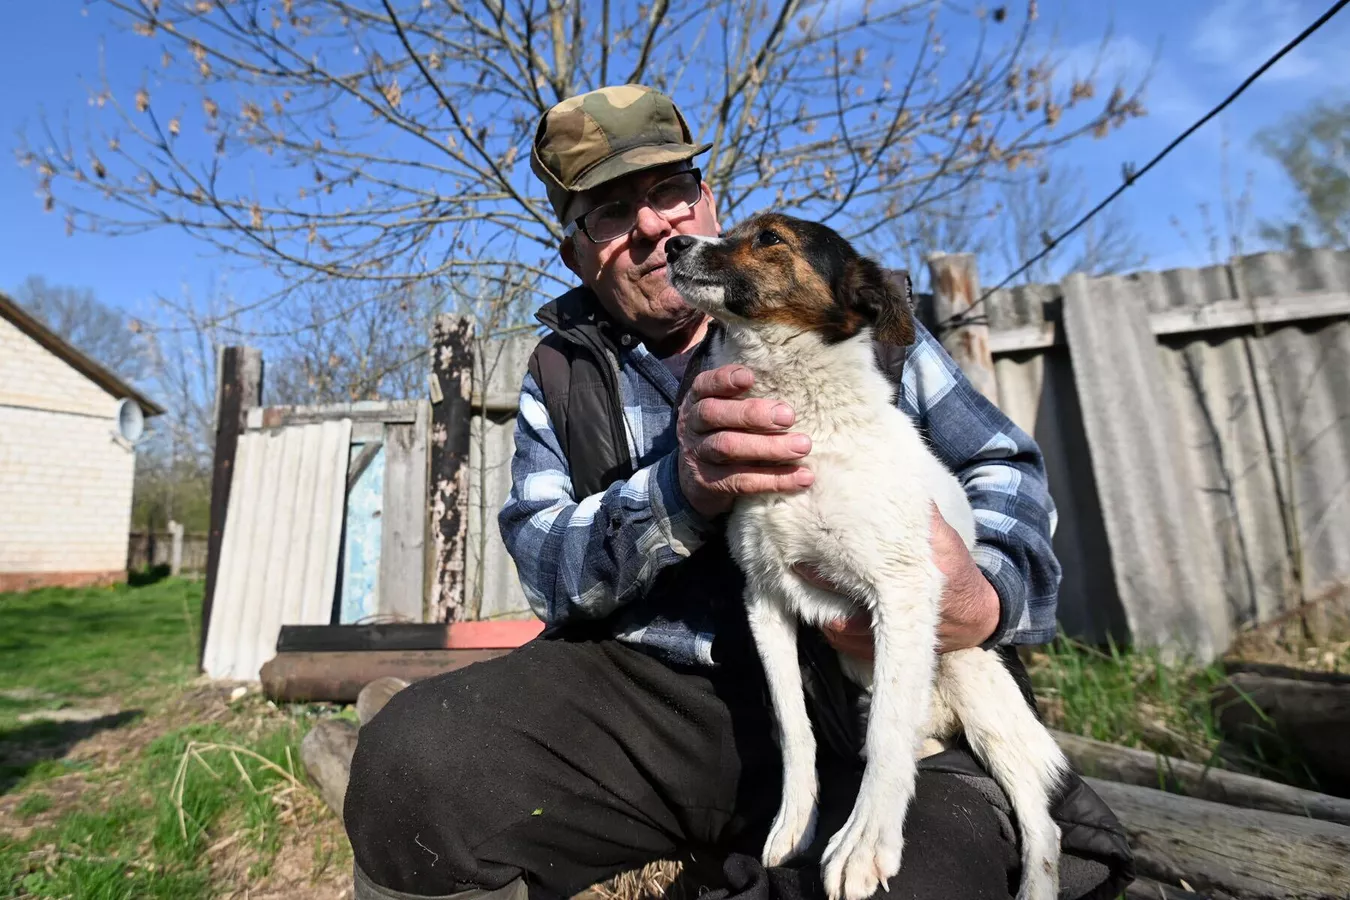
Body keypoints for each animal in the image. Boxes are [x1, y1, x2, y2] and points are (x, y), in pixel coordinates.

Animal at [664, 213, 1063, 900]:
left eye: (769, 238)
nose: (672, 243)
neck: (808, 425)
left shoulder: (901, 594)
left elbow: (884, 739)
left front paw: (865, 840)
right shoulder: (765, 599)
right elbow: (794, 729)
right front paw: (796, 824)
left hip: (974, 678)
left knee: (1040, 819)